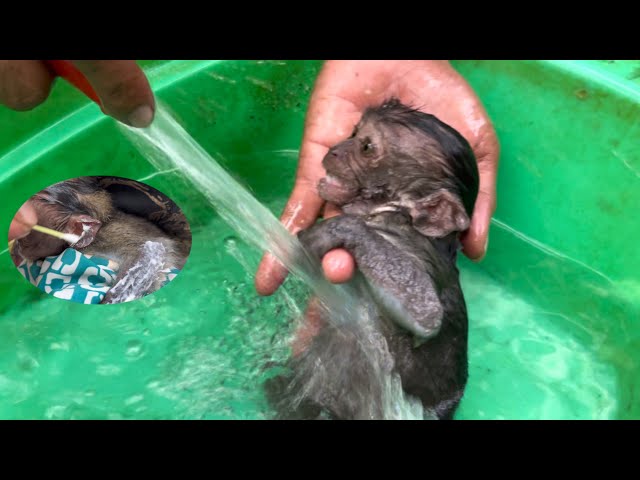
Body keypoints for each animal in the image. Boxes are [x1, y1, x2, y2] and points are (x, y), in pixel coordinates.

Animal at [266, 98, 480, 420]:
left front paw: (338, 230)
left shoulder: (417, 249)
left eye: (366, 146)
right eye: (353, 133)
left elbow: (426, 314)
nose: (335, 149)